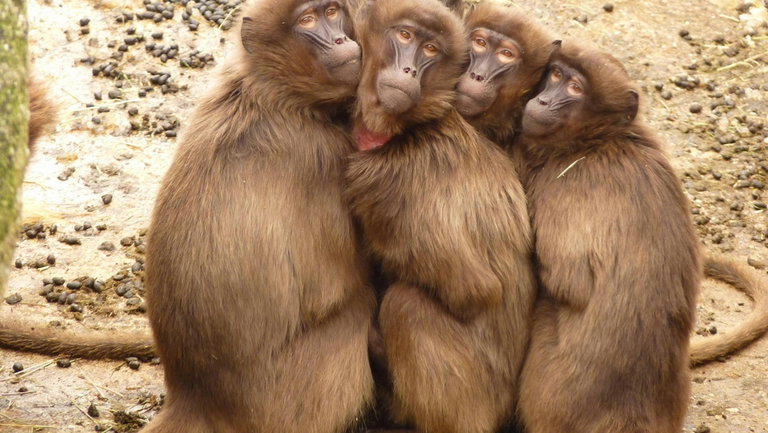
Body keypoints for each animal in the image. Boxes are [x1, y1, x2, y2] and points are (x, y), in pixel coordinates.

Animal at [345, 0, 536, 432]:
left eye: (430, 49)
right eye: (404, 36)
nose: (408, 70)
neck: (410, 128)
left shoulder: (393, 184)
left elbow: (474, 290)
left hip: (476, 397)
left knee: (406, 305)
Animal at [516, 39, 699, 433]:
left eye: (574, 88)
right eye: (556, 74)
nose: (543, 101)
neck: (598, 141)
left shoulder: (566, 185)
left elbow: (569, 282)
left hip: (552, 392)